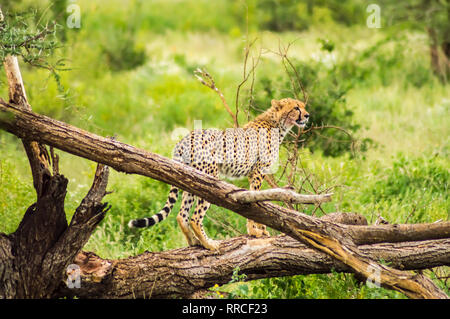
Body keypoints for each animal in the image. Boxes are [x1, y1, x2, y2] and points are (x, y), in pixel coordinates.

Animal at [128, 97, 308, 250]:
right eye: (296, 107)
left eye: (303, 106)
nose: (307, 115)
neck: (277, 123)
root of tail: (185, 138)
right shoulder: (257, 173)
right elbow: (255, 202)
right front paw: (254, 231)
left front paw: (261, 229)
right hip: (209, 178)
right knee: (195, 217)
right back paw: (209, 244)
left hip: (191, 178)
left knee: (182, 214)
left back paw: (194, 241)